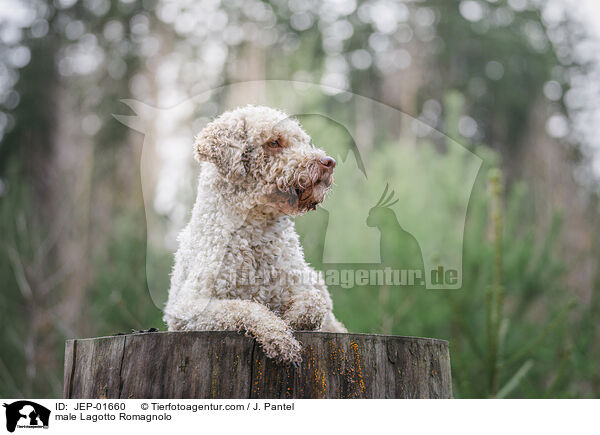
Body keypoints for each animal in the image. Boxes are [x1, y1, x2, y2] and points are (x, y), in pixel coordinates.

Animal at [164, 104, 346, 364]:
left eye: (303, 141)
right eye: (274, 142)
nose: (328, 162)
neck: (256, 235)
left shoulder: (301, 286)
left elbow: (314, 303)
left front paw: (292, 317)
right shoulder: (187, 309)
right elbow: (245, 307)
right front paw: (279, 338)